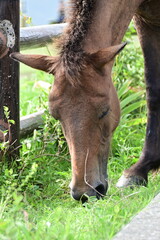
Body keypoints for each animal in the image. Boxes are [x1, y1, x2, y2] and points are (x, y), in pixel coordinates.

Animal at [10, 0, 160, 202]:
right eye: (55, 115)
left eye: (105, 111)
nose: (84, 193)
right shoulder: (146, 22)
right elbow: (154, 91)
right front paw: (139, 171)